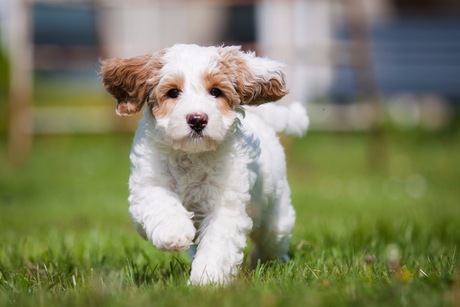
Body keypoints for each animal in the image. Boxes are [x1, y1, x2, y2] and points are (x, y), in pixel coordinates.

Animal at [102, 44, 308, 286]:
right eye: (173, 92)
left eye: (216, 92)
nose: (197, 119)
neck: (192, 154)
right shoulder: (147, 184)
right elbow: (161, 202)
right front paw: (175, 232)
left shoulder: (225, 204)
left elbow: (217, 243)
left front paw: (206, 280)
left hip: (275, 215)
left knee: (272, 239)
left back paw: (267, 262)